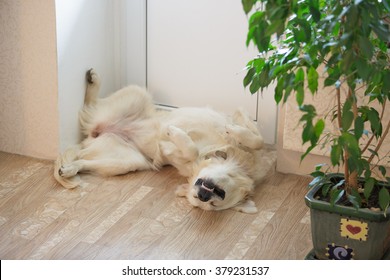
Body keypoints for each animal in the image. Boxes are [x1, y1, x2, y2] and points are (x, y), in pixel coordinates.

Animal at [54, 69, 268, 212]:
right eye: (201, 197)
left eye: (214, 202)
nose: (202, 195)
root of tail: (95, 133)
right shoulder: (236, 121)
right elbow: (257, 139)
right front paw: (232, 130)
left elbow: (191, 151)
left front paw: (174, 134)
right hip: (136, 94)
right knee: (91, 103)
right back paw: (93, 80)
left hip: (126, 162)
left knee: (84, 160)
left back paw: (69, 169)